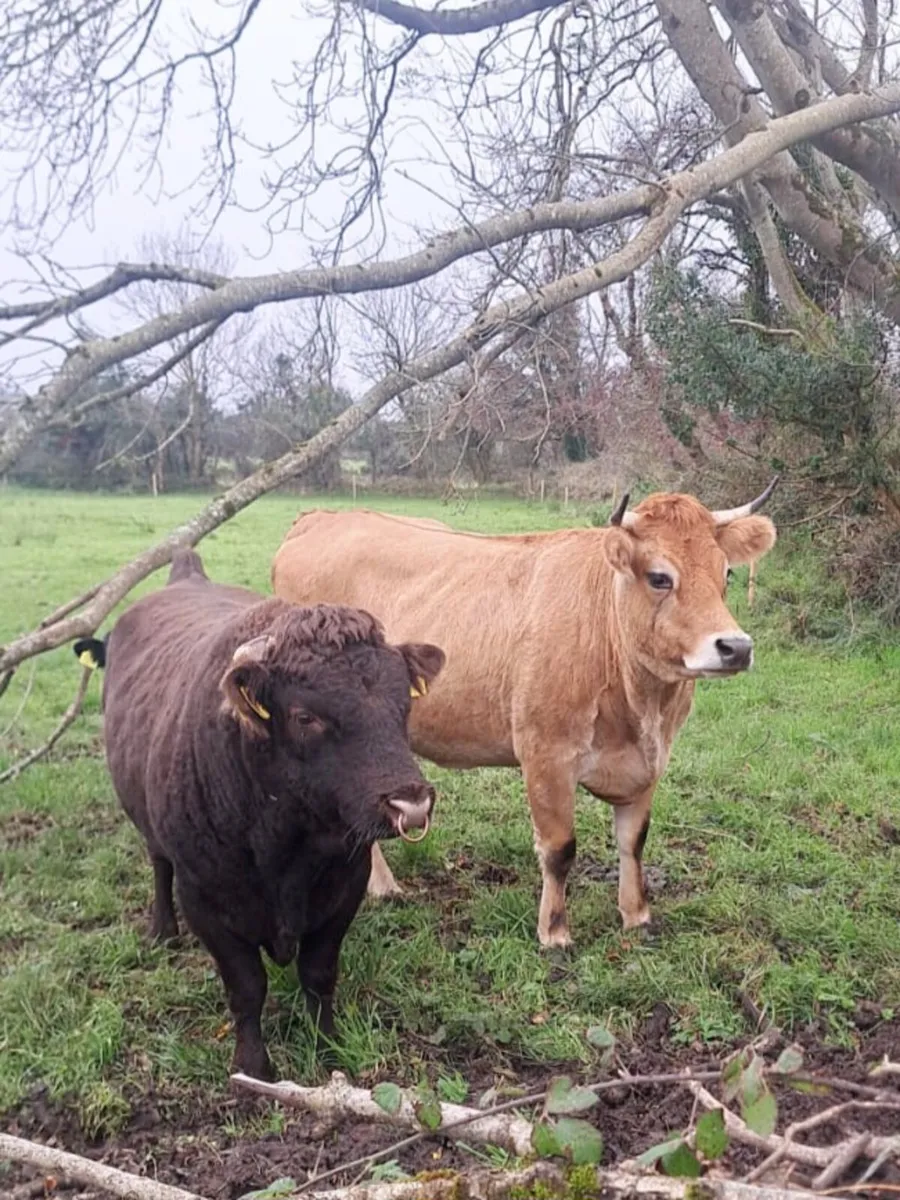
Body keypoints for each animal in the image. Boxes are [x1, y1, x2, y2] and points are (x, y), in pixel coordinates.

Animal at [73, 549, 445, 1079]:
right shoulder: (206, 904)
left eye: (403, 706)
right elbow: (247, 988)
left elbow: (318, 975)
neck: (283, 845)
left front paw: (327, 1046)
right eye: (306, 717)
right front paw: (252, 1067)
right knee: (159, 864)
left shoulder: (344, 888)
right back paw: (162, 931)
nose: (411, 803)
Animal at [270, 481, 778, 949]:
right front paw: (554, 932)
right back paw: (379, 887)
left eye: (727, 573)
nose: (736, 647)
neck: (642, 705)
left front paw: (637, 916)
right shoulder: (545, 755)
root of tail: (321, 518)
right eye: (659, 577)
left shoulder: (651, 761)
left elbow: (633, 841)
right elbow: (559, 850)